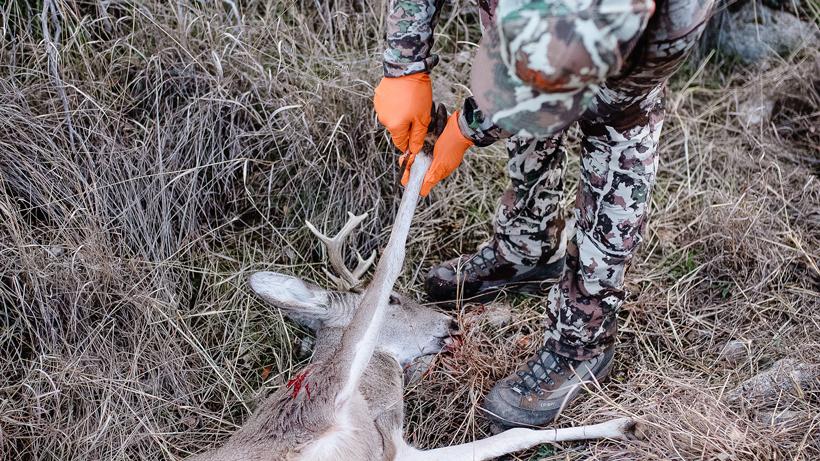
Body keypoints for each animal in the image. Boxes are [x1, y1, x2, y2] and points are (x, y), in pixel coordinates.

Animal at [189, 106, 637, 461]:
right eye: (396, 301)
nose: (450, 323)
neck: (372, 403)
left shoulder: (398, 451)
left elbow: (508, 436)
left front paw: (622, 424)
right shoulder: (333, 396)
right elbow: (391, 256)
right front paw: (424, 144)